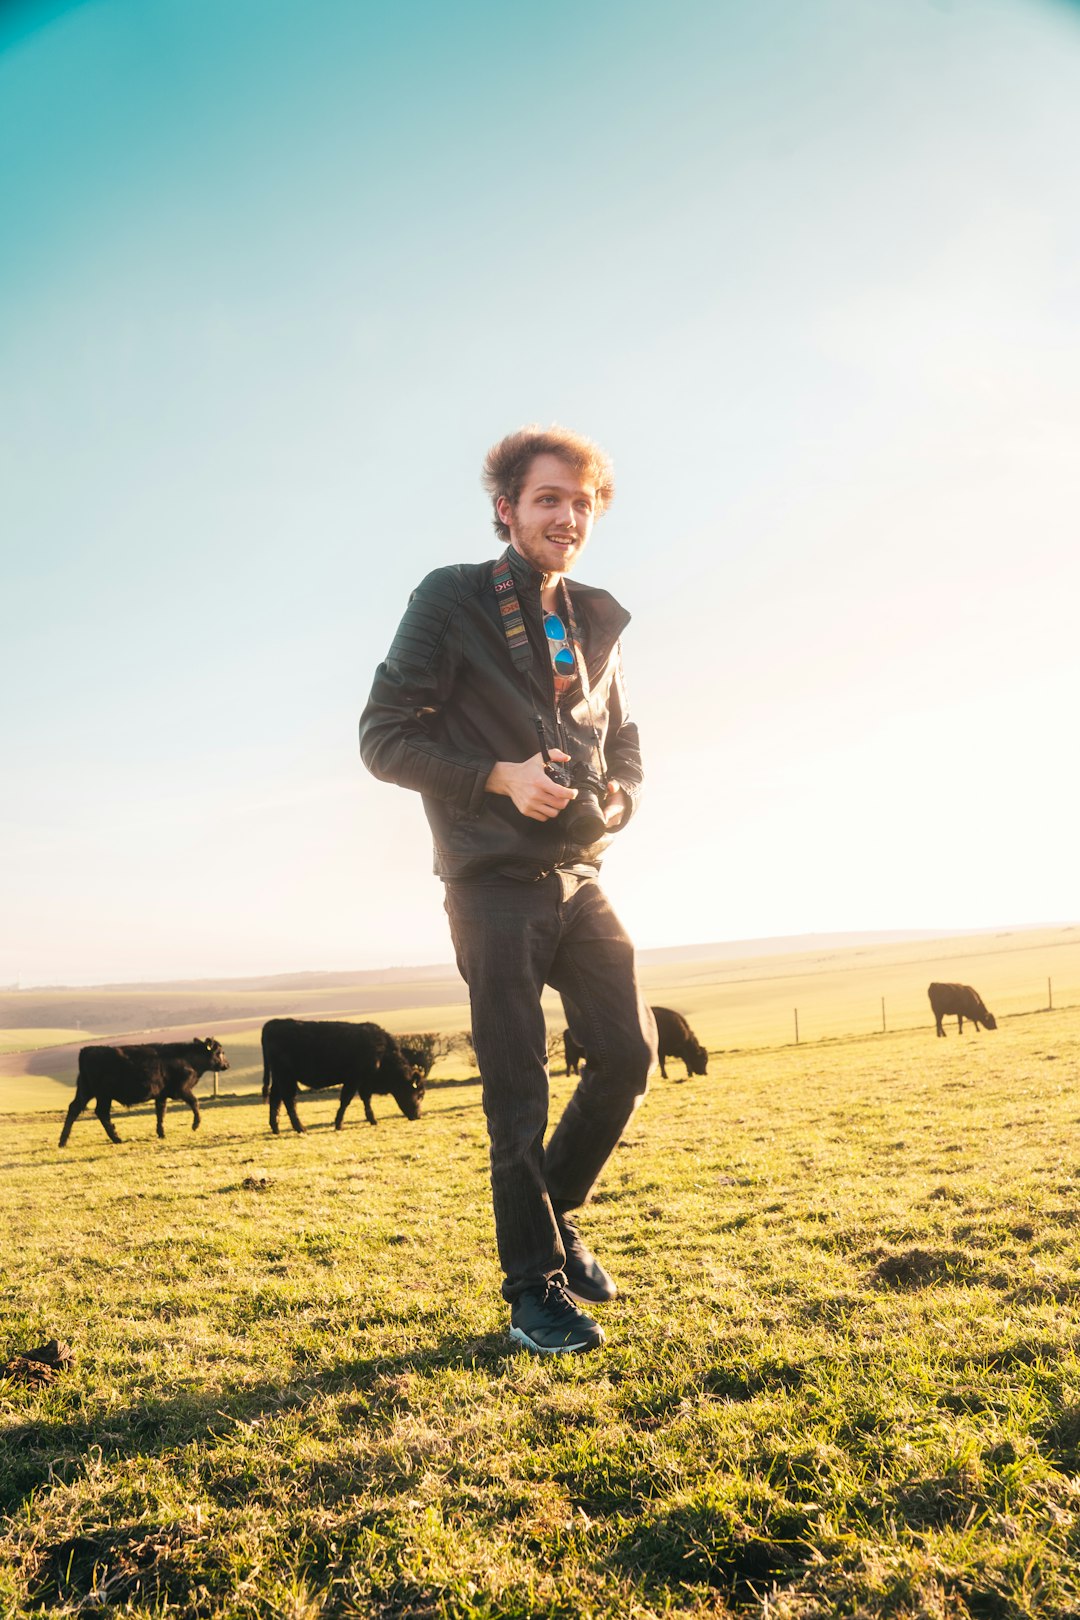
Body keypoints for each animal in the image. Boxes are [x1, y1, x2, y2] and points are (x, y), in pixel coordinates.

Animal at [58, 1036, 229, 1153]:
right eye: (219, 1052)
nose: (227, 1065)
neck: (188, 1059)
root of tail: (87, 1050)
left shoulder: (162, 1095)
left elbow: (161, 1113)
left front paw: (161, 1133)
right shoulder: (181, 1089)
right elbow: (195, 1102)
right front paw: (195, 1125)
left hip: (87, 1091)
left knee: (75, 1109)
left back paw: (63, 1141)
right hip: (103, 1094)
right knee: (101, 1112)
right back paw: (116, 1138)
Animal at [262, 1017, 427, 1134]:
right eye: (419, 1094)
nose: (418, 1115)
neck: (382, 1053)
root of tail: (273, 1023)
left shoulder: (364, 1082)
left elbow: (366, 1100)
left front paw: (372, 1120)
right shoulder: (354, 1079)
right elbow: (346, 1100)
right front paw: (338, 1124)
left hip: (279, 1078)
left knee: (275, 1098)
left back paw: (276, 1128)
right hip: (286, 1077)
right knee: (289, 1100)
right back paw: (300, 1128)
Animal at [566, 1004, 709, 1082]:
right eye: (703, 1059)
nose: (705, 1073)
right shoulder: (666, 1050)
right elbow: (679, 1061)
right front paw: (670, 1075)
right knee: (572, 1063)